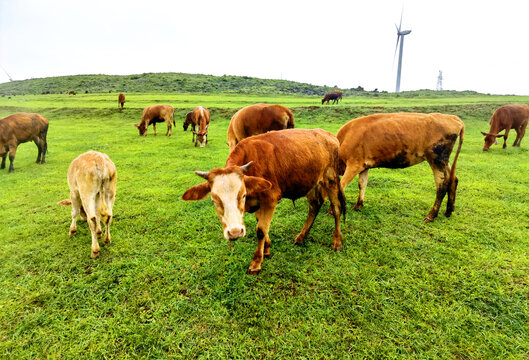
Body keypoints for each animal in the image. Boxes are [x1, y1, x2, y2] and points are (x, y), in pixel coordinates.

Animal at [183, 130, 346, 276]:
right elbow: (261, 225)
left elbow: (261, 229)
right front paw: (266, 249)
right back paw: (301, 237)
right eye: (214, 200)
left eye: (243, 195)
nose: (235, 232)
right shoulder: (258, 202)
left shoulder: (270, 200)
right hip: (311, 182)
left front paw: (256, 262)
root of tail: (329, 135)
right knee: (314, 205)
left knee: (337, 208)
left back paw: (337, 242)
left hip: (330, 179)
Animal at [336, 112, 464, 222]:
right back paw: (448, 211)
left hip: (436, 159)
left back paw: (431, 215)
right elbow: (362, 184)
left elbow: (341, 186)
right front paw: (358, 205)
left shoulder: (354, 165)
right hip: (444, 161)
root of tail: (452, 117)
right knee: (453, 179)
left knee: (442, 186)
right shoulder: (364, 166)